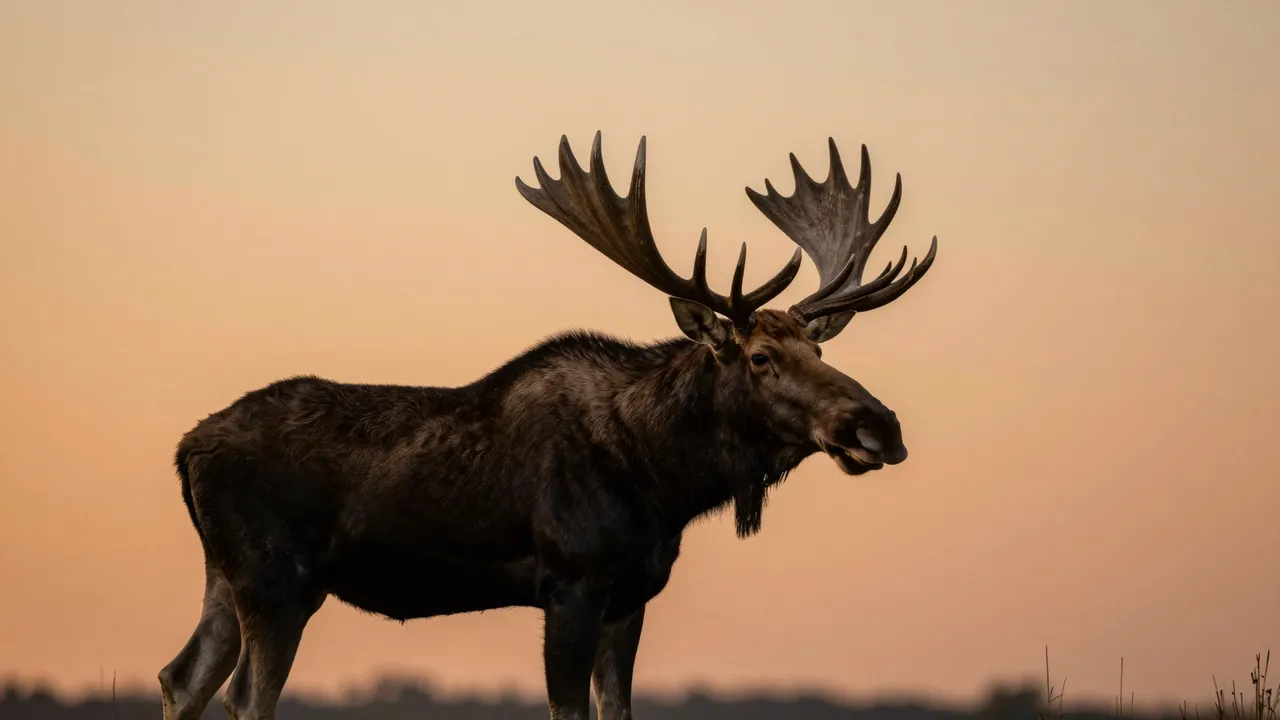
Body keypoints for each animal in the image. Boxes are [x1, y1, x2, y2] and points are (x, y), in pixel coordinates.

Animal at [156, 131, 939, 720]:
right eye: (760, 357)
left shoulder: (632, 596)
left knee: (180, 676)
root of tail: (185, 448)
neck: (664, 481)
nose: (879, 425)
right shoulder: (571, 582)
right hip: (276, 578)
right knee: (245, 697)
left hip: (226, 574)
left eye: (820, 351)